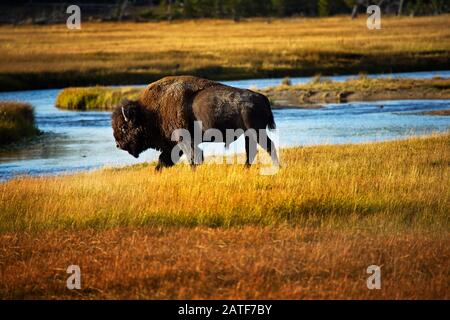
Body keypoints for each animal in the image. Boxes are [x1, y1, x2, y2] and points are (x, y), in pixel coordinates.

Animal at [111, 75, 278, 170]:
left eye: (124, 127)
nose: (118, 145)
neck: (150, 112)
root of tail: (261, 97)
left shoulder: (184, 140)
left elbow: (193, 158)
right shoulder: (173, 144)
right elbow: (164, 160)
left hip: (256, 131)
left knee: (268, 147)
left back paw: (277, 167)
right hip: (249, 134)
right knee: (252, 150)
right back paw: (246, 169)